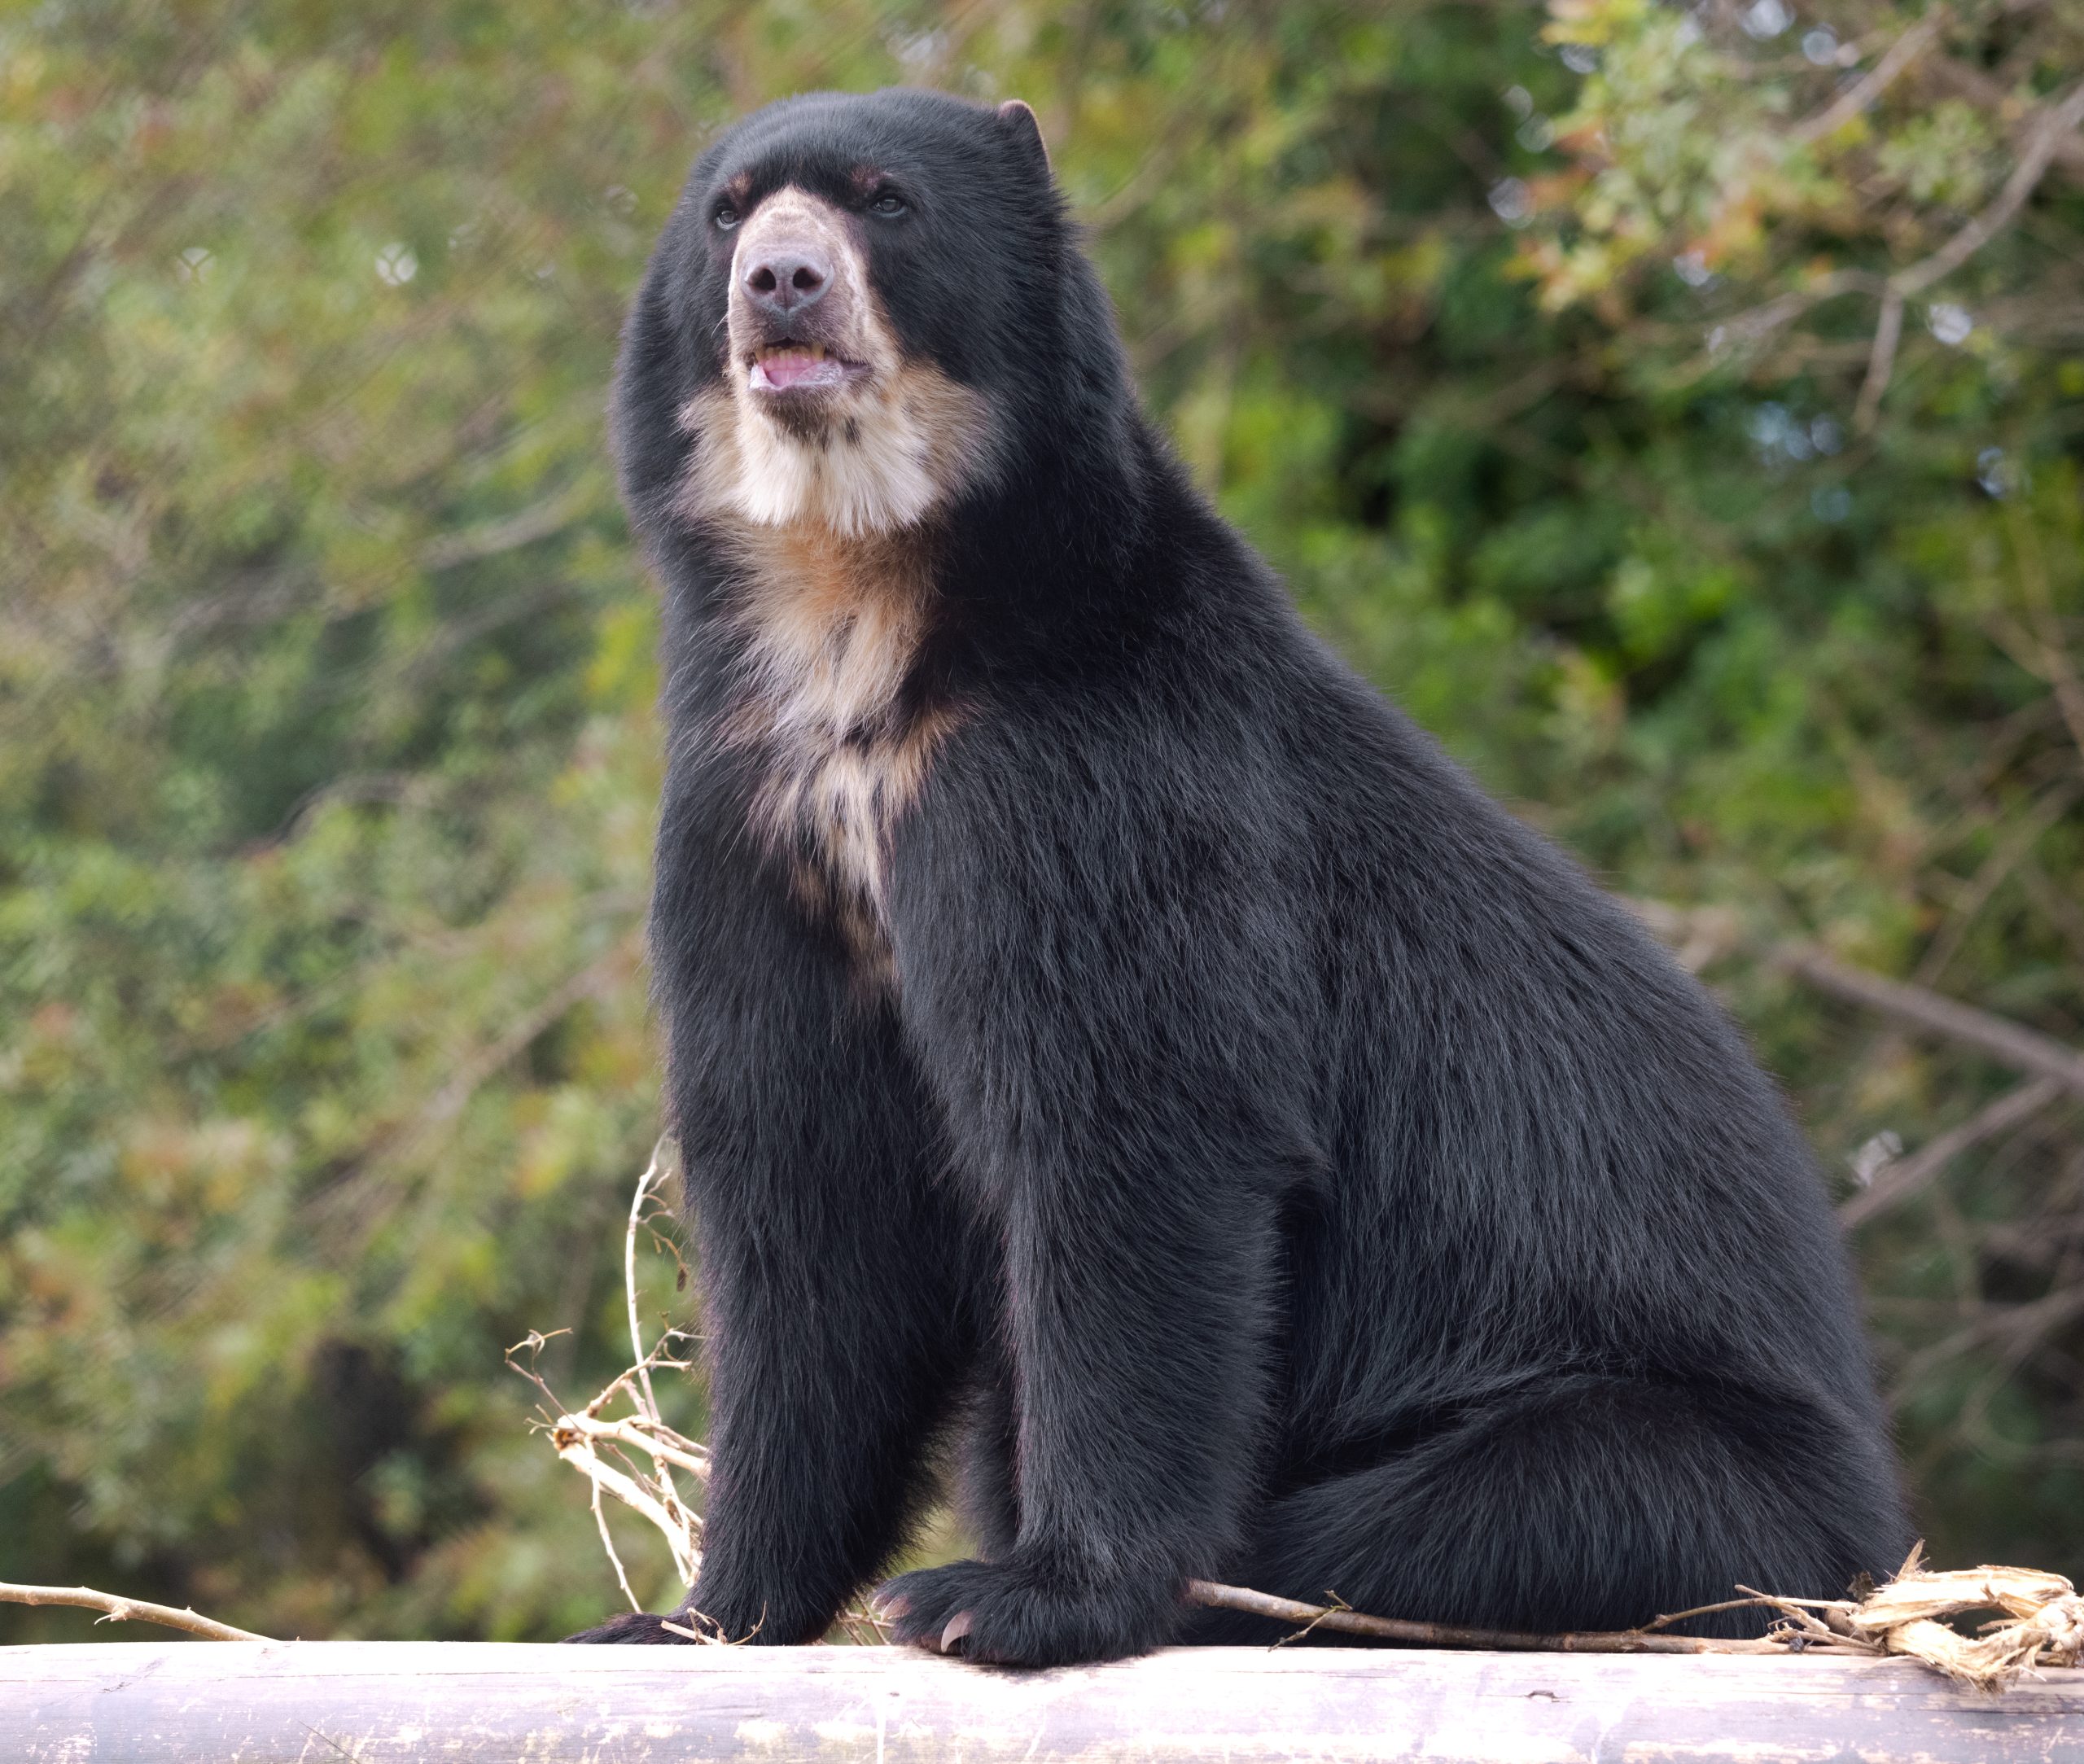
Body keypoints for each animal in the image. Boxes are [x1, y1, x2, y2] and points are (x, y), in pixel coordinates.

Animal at [567, 86, 1909, 1666]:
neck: (864, 616)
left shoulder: (1098, 784)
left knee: (1453, 1517)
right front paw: (692, 1616)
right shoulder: (750, 828)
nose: (780, 280)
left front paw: (1012, 1595)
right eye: (727, 211)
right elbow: (805, 1195)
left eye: (884, 199)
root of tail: (1872, 1539)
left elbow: (1139, 1128)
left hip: (1674, 1464)